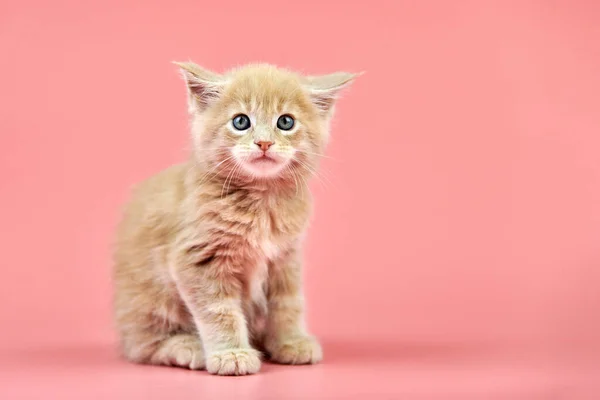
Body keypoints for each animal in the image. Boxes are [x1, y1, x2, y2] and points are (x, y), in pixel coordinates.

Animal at [111, 61, 356, 376]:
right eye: (241, 122)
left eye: (285, 122)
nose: (264, 143)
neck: (262, 203)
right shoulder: (197, 258)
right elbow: (219, 311)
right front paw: (232, 354)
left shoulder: (286, 259)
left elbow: (287, 303)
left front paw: (290, 341)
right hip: (148, 299)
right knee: (143, 345)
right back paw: (187, 347)